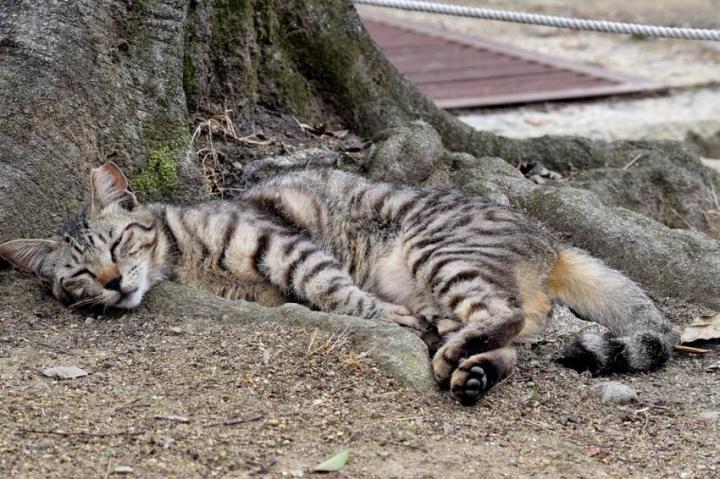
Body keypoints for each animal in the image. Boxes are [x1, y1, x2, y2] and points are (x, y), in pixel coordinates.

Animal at [0, 164, 676, 404]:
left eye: (116, 245)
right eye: (80, 276)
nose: (115, 283)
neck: (183, 256)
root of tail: (549, 239)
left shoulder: (285, 246)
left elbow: (334, 290)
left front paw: (384, 316)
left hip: (440, 254)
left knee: (503, 314)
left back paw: (452, 348)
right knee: (505, 336)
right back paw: (468, 369)